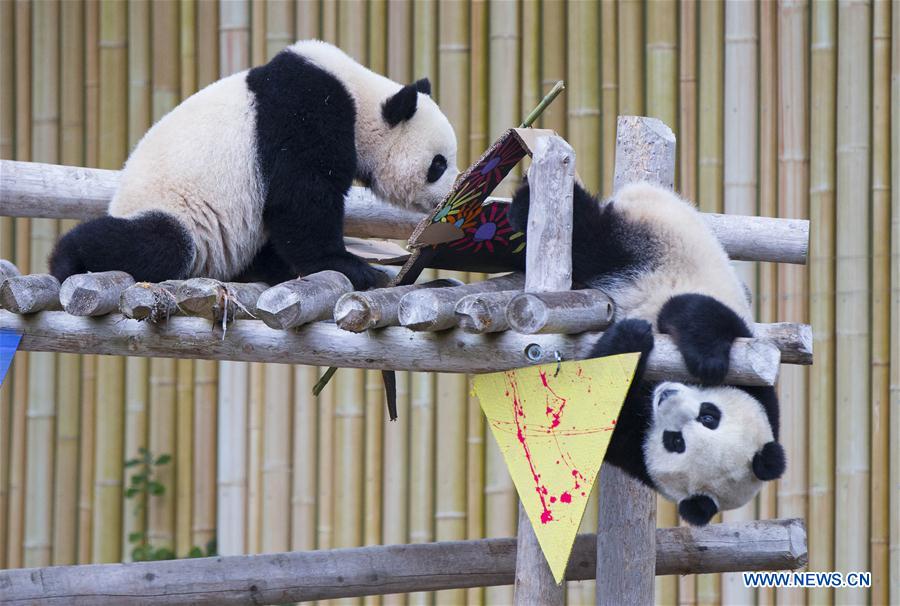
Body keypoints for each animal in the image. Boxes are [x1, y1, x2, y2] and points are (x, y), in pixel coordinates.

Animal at [49, 40, 459, 289]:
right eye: (438, 165)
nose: (450, 195)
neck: (359, 95)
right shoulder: (305, 114)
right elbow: (301, 198)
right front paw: (351, 265)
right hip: (174, 209)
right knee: (157, 244)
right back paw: (68, 260)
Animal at [509, 180, 786, 525]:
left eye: (675, 441)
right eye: (710, 415)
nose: (667, 396)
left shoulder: (632, 449)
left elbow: (594, 406)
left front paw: (628, 339)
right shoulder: (758, 380)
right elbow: (694, 311)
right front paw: (705, 361)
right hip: (647, 237)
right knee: (590, 236)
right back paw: (527, 201)